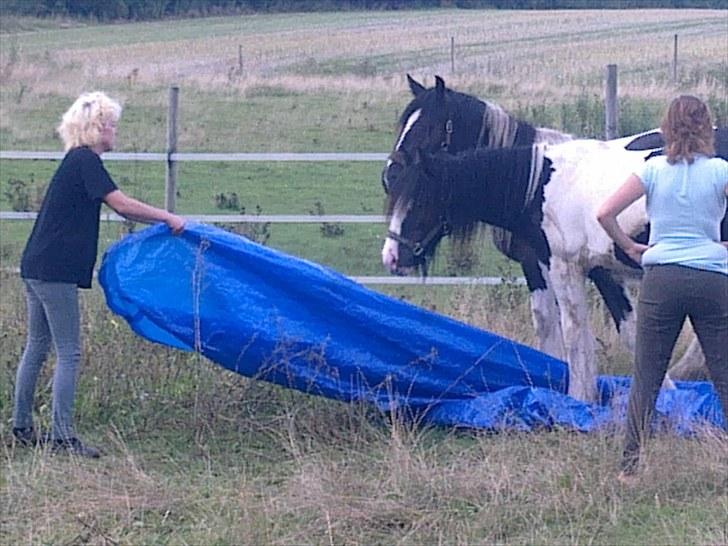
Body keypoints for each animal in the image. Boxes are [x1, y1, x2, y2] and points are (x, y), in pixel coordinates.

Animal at [386, 142, 656, 400]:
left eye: (420, 202)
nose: (391, 256)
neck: (543, 189)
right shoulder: (603, 271)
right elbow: (629, 332)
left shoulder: (565, 267)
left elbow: (575, 335)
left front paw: (579, 398)